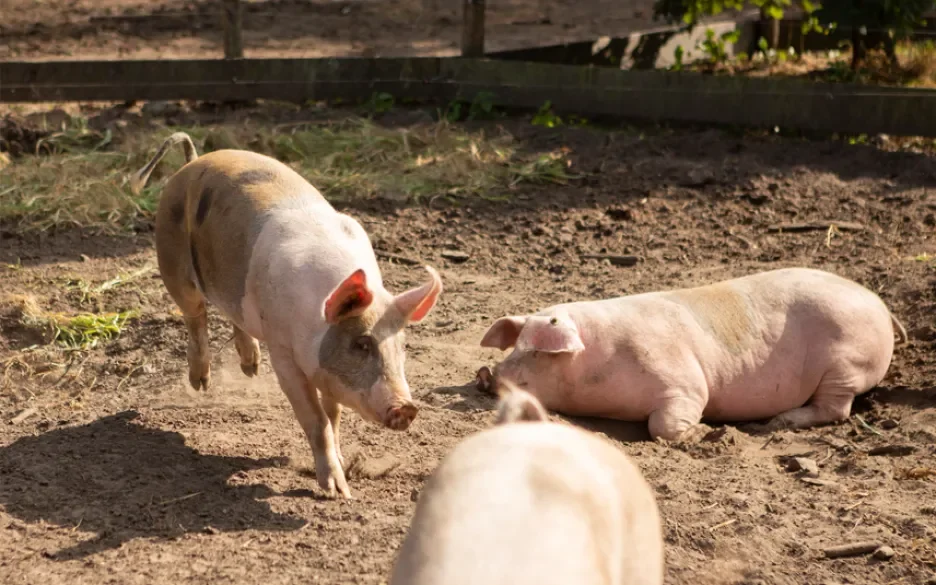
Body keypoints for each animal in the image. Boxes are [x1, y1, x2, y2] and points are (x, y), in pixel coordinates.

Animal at [130, 132, 444, 498]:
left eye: (402, 345)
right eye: (361, 344)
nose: (406, 407)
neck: (316, 318)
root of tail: (191, 163)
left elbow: (333, 414)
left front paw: (341, 466)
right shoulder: (283, 354)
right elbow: (317, 419)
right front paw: (337, 491)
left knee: (233, 315)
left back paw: (250, 368)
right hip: (172, 260)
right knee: (195, 315)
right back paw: (201, 383)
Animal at [478, 266, 904, 440]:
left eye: (537, 352)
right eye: (517, 344)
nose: (489, 375)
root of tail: (879, 304)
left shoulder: (682, 382)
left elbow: (663, 426)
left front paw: (707, 431)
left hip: (845, 362)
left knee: (837, 408)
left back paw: (775, 423)